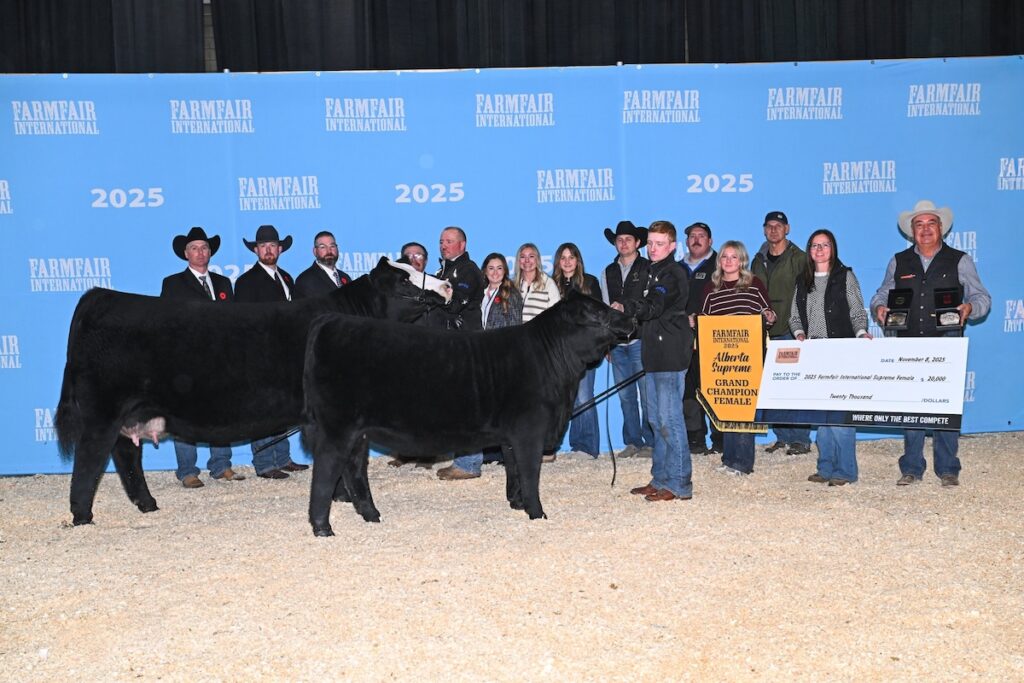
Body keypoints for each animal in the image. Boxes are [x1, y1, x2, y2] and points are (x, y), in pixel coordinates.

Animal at [55, 258, 451, 525]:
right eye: (403, 279)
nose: (447, 286)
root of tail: (100, 296)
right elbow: (351, 463)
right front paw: (366, 510)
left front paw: (341, 499)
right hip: (101, 412)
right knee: (89, 461)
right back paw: (82, 516)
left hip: (129, 412)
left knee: (126, 455)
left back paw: (146, 504)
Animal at [300, 291, 635, 536]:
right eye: (597, 313)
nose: (630, 318)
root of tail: (330, 320)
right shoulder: (530, 431)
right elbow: (530, 472)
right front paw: (537, 513)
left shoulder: (511, 435)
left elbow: (514, 470)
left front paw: (517, 504)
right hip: (337, 428)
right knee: (325, 471)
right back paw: (322, 528)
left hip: (357, 432)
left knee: (354, 469)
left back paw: (371, 515)